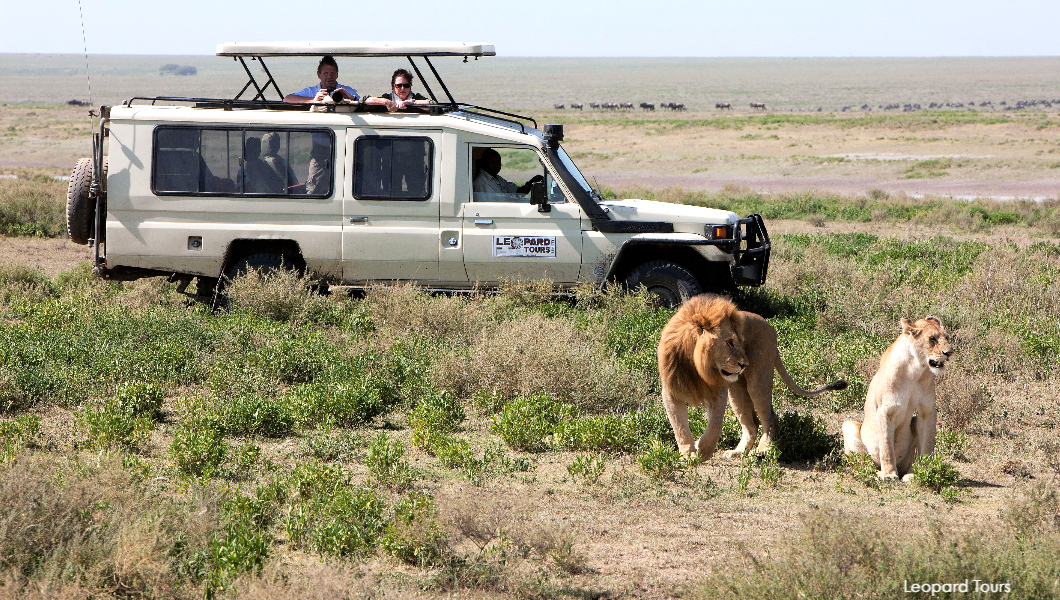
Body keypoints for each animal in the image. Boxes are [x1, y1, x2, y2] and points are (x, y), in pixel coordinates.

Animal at [657, 294, 847, 460]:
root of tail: (770, 326)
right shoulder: (671, 391)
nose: (744, 364)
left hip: (757, 382)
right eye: (730, 342)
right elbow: (680, 427)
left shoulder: (718, 392)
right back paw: (738, 452)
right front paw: (688, 454)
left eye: (739, 342)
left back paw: (763, 449)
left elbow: (714, 427)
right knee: (751, 424)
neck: (695, 365)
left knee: (769, 418)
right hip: (736, 389)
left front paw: (703, 451)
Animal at [843, 318, 953, 481]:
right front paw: (889, 474)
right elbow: (887, 446)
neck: (914, 371)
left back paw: (909, 473)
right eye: (932, 338)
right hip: (848, 425)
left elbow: (927, 445)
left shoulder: (927, 410)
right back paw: (877, 472)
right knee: (860, 465)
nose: (949, 353)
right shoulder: (884, 411)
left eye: (946, 337)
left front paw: (923, 471)